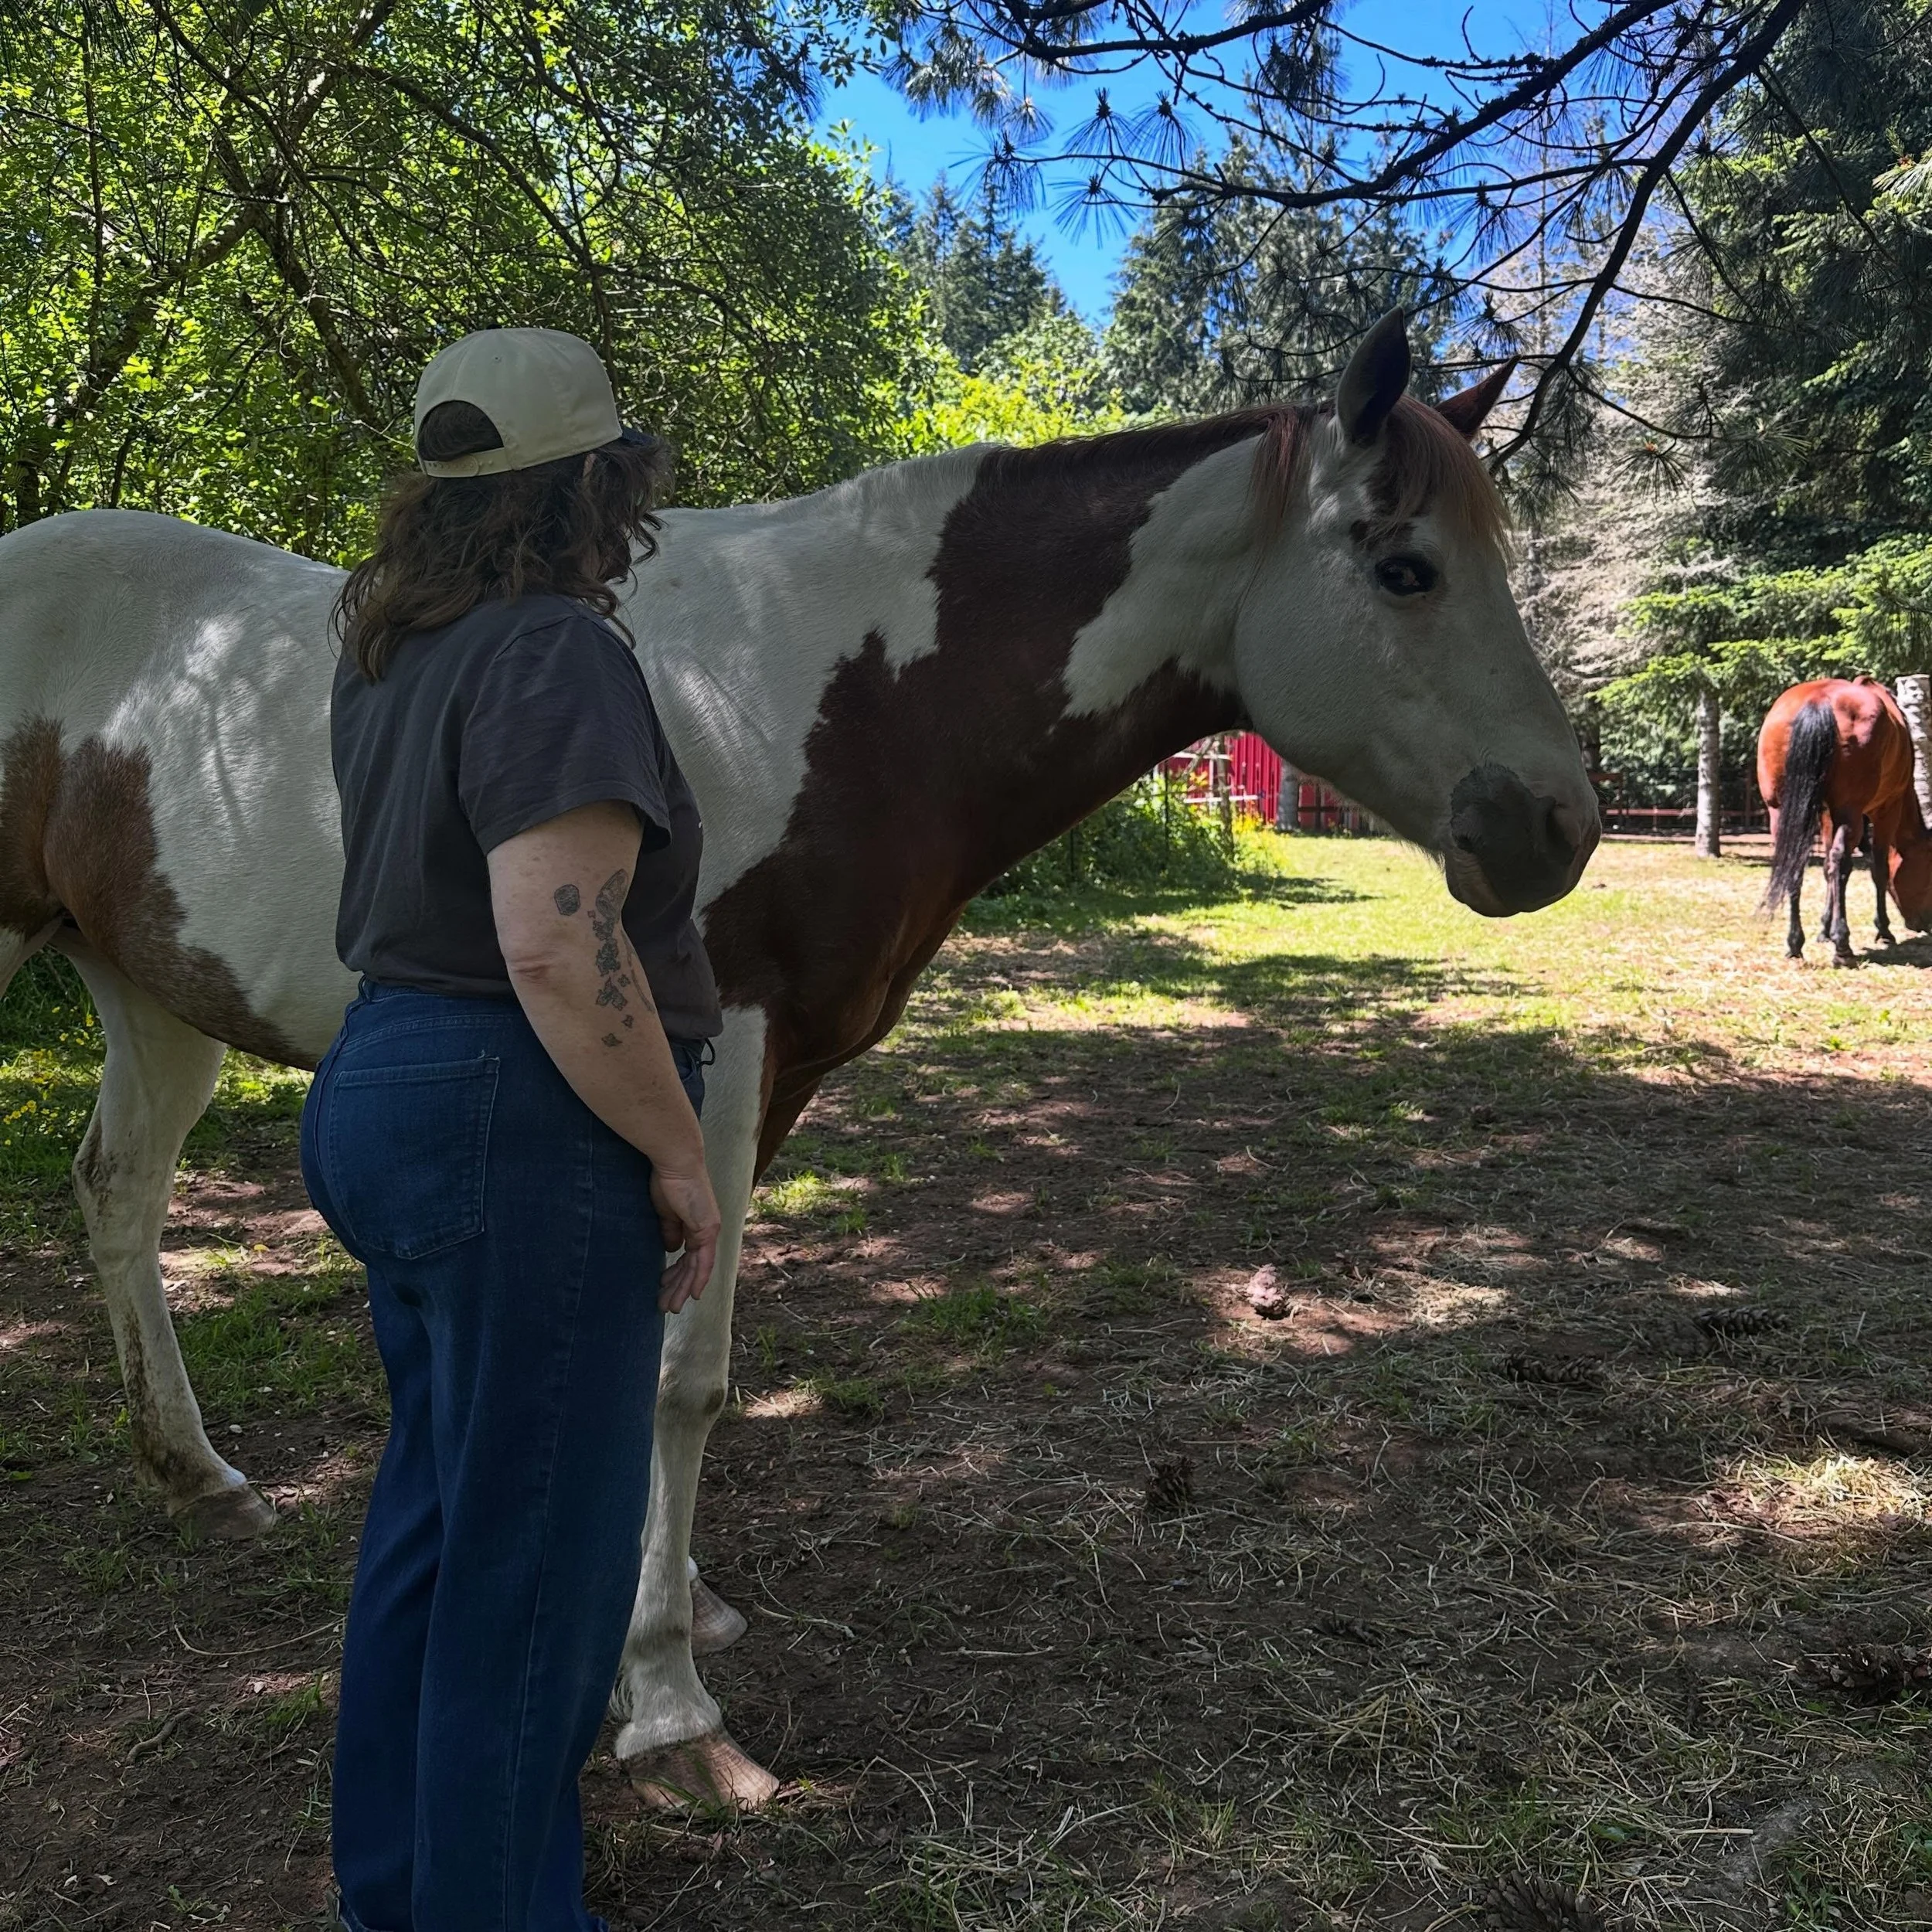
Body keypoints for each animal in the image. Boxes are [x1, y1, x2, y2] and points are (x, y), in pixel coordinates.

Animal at [0, 311, 1597, 1804]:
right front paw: (667, 1707)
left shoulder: (755, 1094)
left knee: (120, 1195)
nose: (1557, 826)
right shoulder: (711, 1061)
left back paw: (199, 1477)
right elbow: (681, 1380)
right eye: (1405, 568)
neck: (850, 686)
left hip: (156, 999)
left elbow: (663, 1353)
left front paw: (677, 1611)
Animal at [1758, 676, 1932, 965]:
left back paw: (1795, 943)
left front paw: (1824, 930)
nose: (1924, 923)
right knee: (1841, 862)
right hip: (1850, 812)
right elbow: (1878, 868)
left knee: (1796, 863)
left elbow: (1828, 866)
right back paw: (1843, 946)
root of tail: (1818, 700)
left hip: (1780, 811)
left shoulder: (1827, 814)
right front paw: (1883, 930)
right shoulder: (1887, 809)